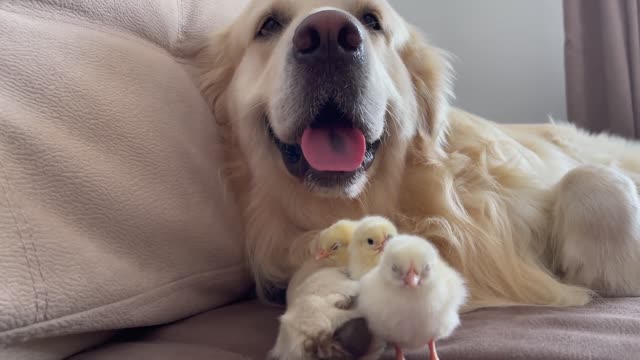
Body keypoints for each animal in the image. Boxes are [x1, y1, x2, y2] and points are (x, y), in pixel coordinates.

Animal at [198, 0, 636, 356]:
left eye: (372, 20)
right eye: (268, 25)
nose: (327, 37)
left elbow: (591, 178)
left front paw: (608, 267)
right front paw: (320, 312)